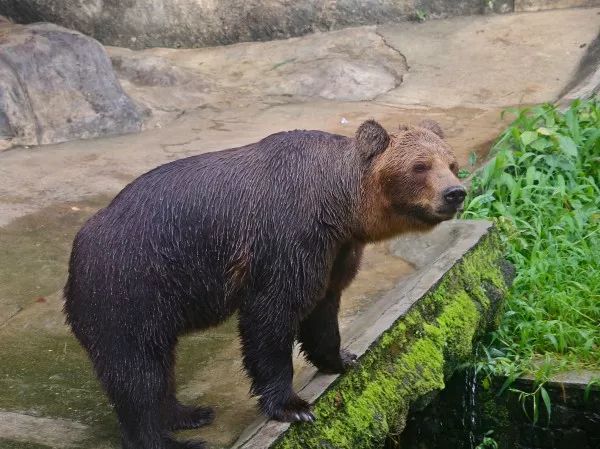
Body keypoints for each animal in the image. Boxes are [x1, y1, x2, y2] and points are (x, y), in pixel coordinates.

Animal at [64, 119, 465, 449]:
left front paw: (343, 357)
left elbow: (323, 310)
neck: (337, 208)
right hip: (129, 289)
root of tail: (77, 249)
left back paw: (189, 413)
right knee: (137, 371)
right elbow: (271, 318)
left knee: (159, 365)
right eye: (420, 166)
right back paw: (172, 439)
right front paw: (293, 406)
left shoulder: (334, 253)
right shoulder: (285, 242)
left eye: (451, 163)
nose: (456, 193)